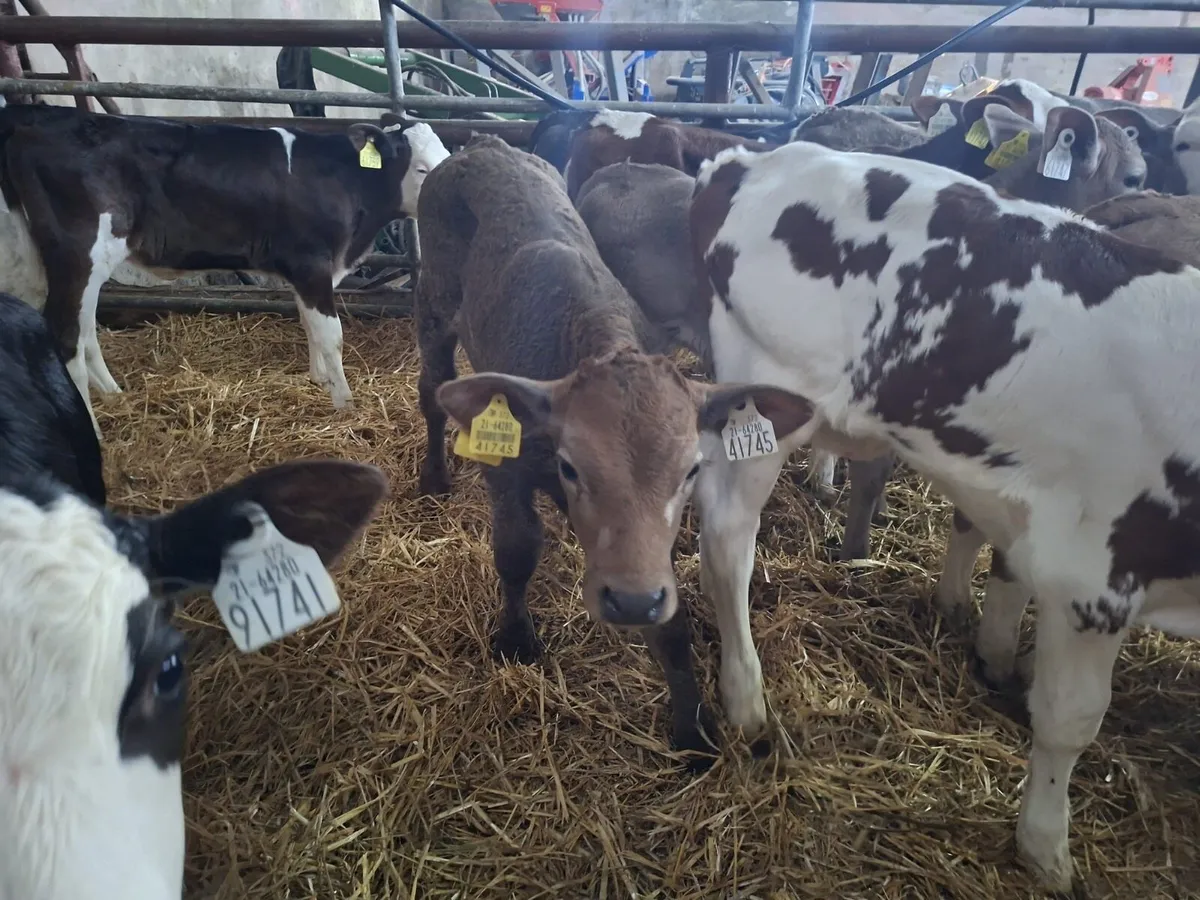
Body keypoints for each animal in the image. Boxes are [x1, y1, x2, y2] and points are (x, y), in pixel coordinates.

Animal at [0, 106, 450, 434]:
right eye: (421, 168)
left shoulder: (305, 272)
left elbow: (308, 326)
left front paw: (318, 381)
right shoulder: (311, 263)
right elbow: (330, 335)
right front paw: (345, 404)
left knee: (86, 332)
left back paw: (115, 396)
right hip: (78, 254)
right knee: (66, 339)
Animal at [415, 134, 801, 769]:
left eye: (691, 470)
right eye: (571, 465)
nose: (631, 602)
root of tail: (486, 145)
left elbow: (672, 620)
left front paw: (692, 729)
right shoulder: (507, 468)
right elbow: (516, 550)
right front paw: (516, 639)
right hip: (433, 306)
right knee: (431, 390)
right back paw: (433, 475)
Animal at [687, 137, 1200, 890]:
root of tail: (752, 157)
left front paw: (991, 651)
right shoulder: (1097, 573)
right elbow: (1070, 720)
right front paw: (1046, 848)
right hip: (762, 393)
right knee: (728, 540)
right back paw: (746, 697)